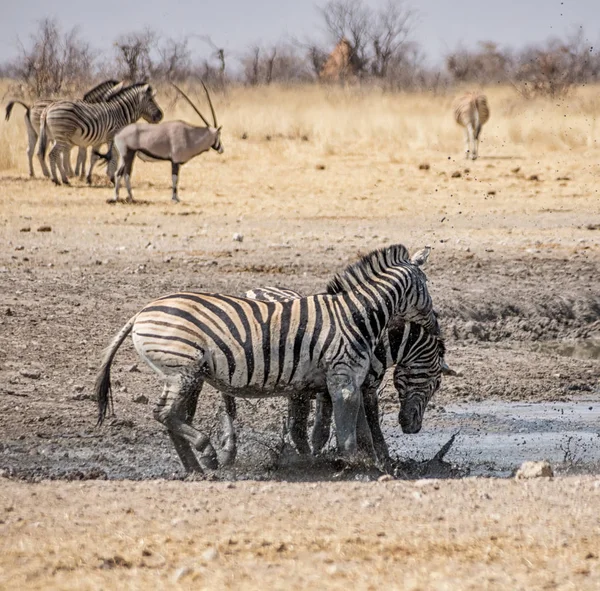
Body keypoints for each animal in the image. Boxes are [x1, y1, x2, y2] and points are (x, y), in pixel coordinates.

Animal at [234, 286, 450, 468]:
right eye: (436, 383)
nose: (413, 427)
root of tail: (257, 288)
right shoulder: (335, 388)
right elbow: (325, 431)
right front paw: (322, 457)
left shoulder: (367, 387)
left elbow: (370, 423)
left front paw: (380, 457)